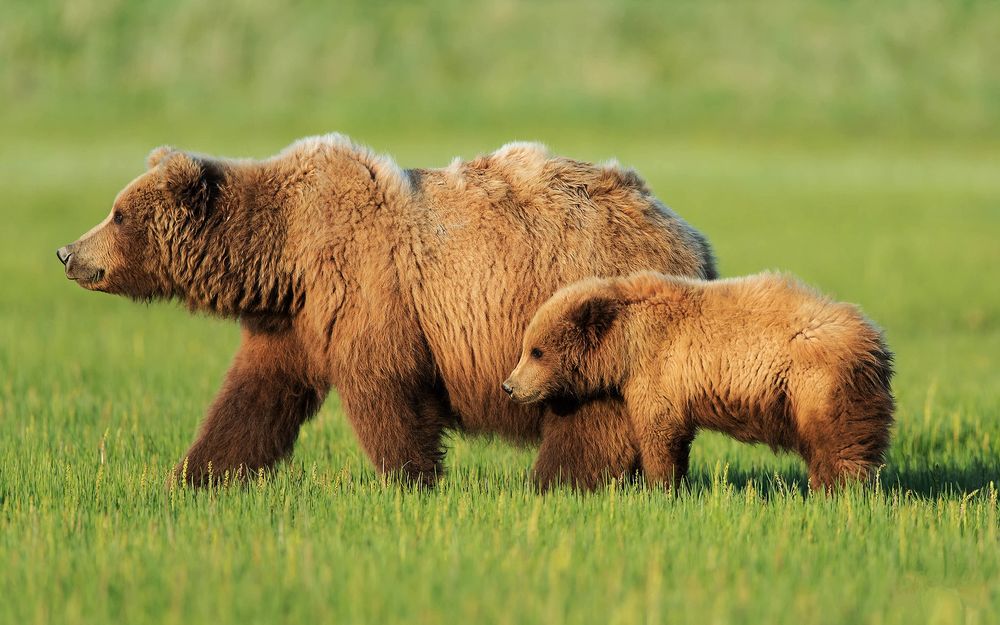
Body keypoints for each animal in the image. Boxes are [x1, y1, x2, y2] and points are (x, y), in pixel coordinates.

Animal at [54, 135, 716, 488]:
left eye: (117, 214)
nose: (66, 252)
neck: (284, 254)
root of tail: (693, 238)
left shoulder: (367, 289)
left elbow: (385, 388)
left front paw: (411, 480)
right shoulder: (294, 322)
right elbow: (255, 397)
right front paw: (194, 476)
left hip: (584, 313)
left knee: (587, 416)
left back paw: (554, 483)